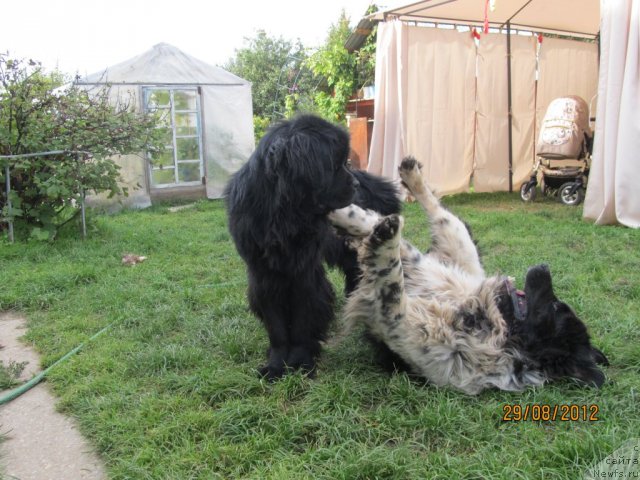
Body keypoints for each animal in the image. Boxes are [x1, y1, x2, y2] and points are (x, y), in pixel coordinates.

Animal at [222, 114, 398, 380]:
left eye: (345, 161)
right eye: (335, 165)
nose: (355, 183)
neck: (284, 217)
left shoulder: (305, 274)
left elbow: (304, 320)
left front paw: (301, 362)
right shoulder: (264, 276)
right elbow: (276, 328)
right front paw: (275, 366)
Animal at [330, 158, 608, 394]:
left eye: (555, 306)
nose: (543, 266)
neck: (492, 322)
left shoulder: (397, 323)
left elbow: (391, 278)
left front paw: (381, 236)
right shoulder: (424, 274)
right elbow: (388, 241)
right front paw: (351, 215)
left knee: (440, 220)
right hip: (454, 258)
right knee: (438, 219)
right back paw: (405, 179)